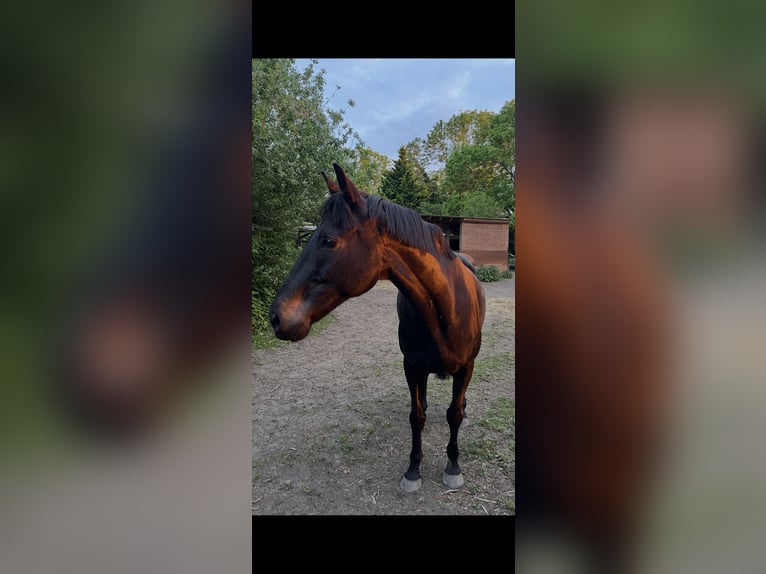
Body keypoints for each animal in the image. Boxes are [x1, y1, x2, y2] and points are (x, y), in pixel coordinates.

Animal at [268, 163, 486, 492]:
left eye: (328, 241)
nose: (277, 317)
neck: (447, 307)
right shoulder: (412, 366)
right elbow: (417, 415)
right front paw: (413, 470)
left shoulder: (466, 367)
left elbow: (454, 414)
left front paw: (453, 466)